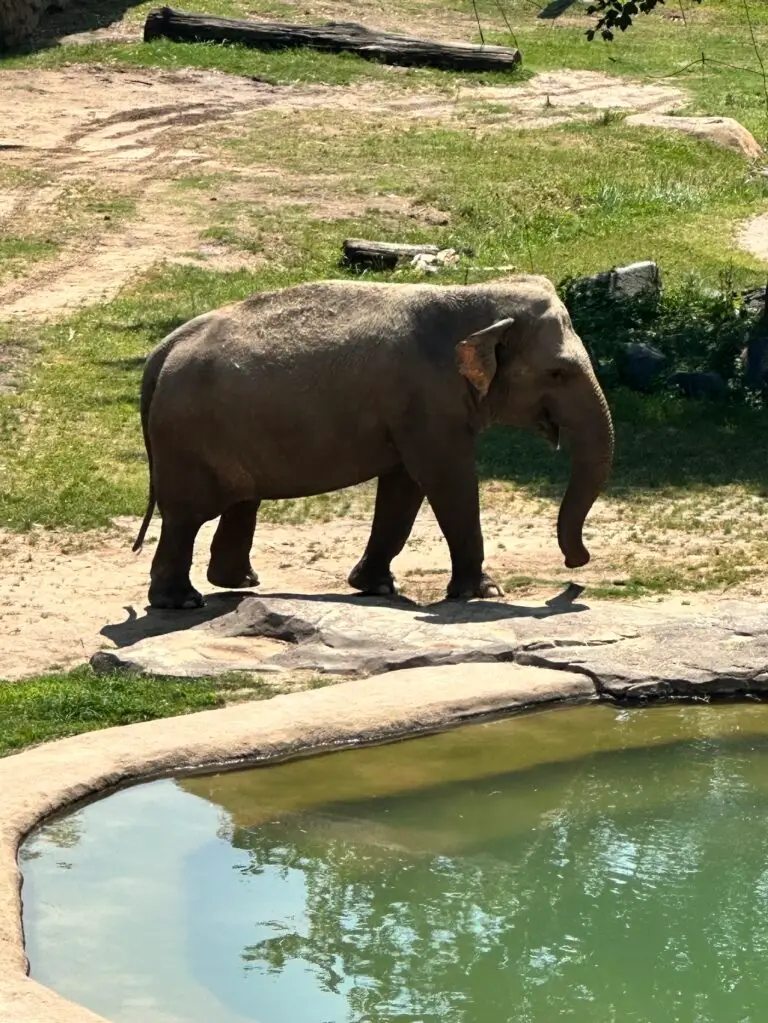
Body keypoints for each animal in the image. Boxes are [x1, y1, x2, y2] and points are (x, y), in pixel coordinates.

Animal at [132, 275, 614, 609]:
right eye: (558, 372)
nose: (576, 563)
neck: (472, 296)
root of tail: (161, 351)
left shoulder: (411, 414)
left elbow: (404, 487)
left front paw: (377, 587)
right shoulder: (428, 402)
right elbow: (446, 480)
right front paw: (484, 592)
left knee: (240, 502)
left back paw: (239, 583)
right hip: (189, 438)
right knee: (187, 515)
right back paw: (182, 602)